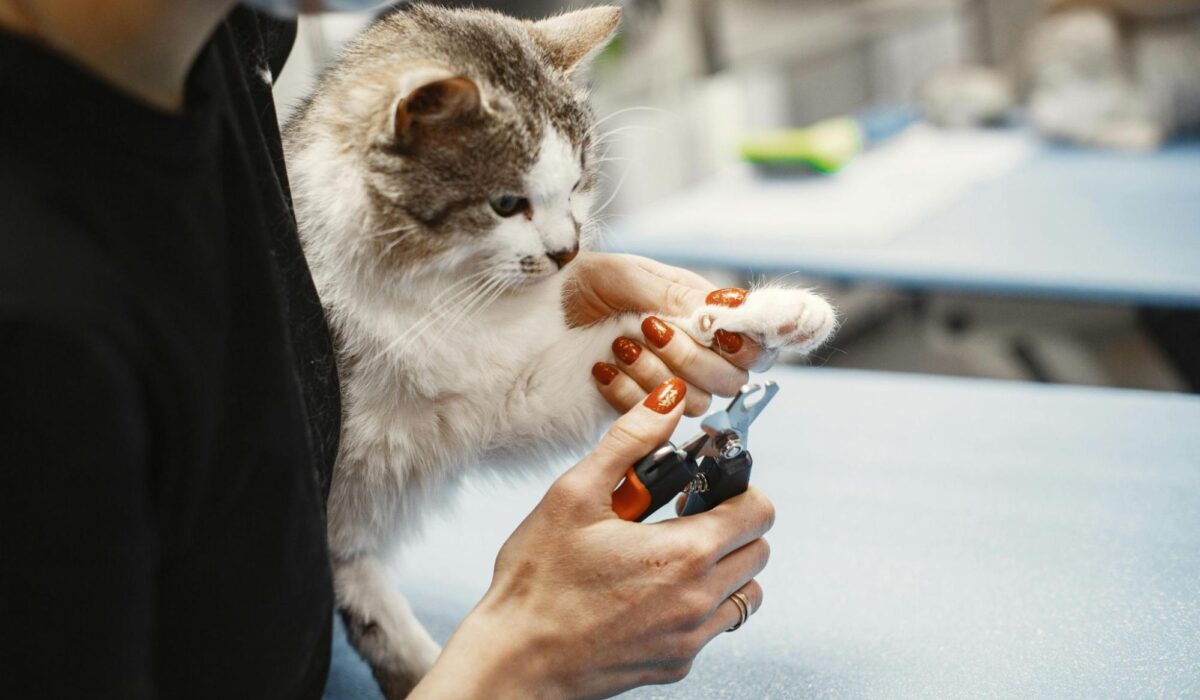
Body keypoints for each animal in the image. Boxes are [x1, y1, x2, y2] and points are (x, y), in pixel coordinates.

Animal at [285, 4, 840, 696]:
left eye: (577, 183)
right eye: (506, 203)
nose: (569, 252)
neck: (440, 298)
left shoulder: (514, 388)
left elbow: (652, 330)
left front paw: (762, 314)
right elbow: (357, 577)